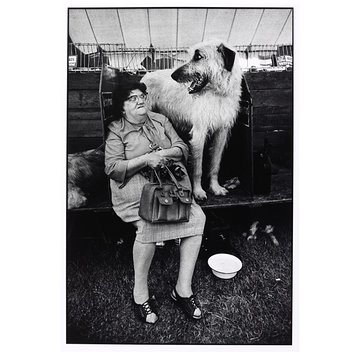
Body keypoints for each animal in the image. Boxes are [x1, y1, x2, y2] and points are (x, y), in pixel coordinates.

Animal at [142, 41, 245, 200]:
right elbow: (198, 167)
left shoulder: (221, 132)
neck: (217, 94)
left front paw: (215, 187)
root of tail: (147, 75)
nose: (173, 75)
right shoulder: (199, 133)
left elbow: (215, 164)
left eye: (198, 56)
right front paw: (198, 191)